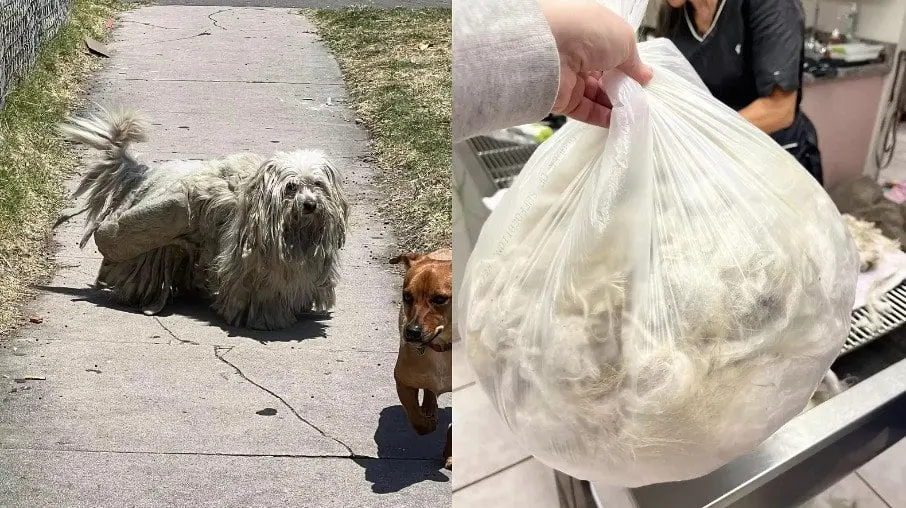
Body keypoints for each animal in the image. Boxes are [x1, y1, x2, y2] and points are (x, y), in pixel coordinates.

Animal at [56, 106, 346, 330]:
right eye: (291, 187)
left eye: (317, 184)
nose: (310, 205)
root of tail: (147, 173)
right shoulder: (251, 266)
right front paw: (265, 319)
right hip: (151, 233)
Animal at [388, 248, 452, 470]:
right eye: (407, 296)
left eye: (440, 299)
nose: (412, 332)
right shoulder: (403, 382)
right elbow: (415, 417)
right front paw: (428, 423)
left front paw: (451, 455)